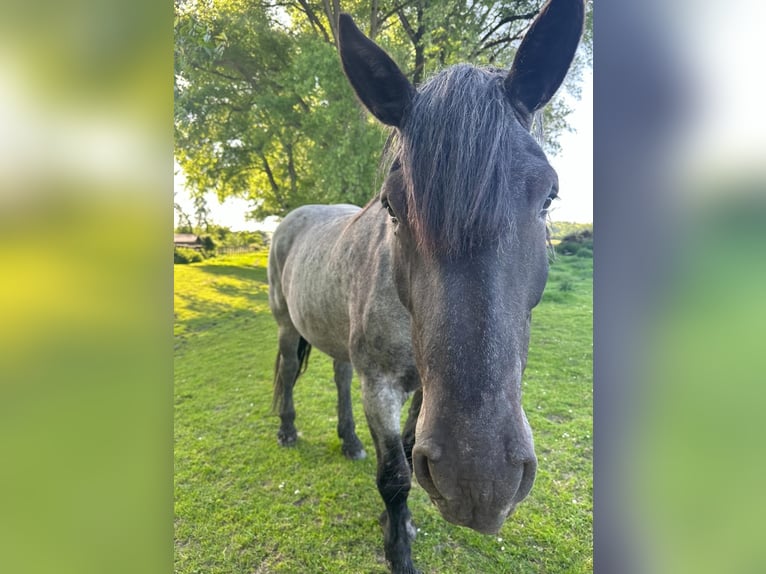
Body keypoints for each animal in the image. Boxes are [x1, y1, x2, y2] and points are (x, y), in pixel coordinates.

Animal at [268, 2, 584, 572]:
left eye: (549, 196)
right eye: (392, 205)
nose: (480, 482)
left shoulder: (422, 391)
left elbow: (411, 455)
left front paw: (404, 522)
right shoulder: (383, 386)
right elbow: (395, 475)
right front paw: (399, 549)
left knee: (339, 376)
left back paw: (350, 441)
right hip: (286, 327)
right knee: (286, 372)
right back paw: (286, 430)